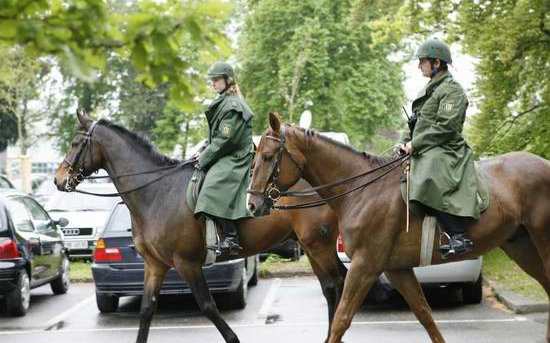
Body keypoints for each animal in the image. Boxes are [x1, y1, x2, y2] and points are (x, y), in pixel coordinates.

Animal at [51, 112, 344, 343]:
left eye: (75, 143)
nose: (57, 178)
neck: (156, 192)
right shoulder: (154, 266)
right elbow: (146, 311)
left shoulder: (187, 263)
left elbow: (208, 307)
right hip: (311, 246)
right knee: (331, 287)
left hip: (319, 245)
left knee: (339, 282)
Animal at [248, 113, 550, 343]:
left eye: (267, 156)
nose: (252, 204)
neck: (361, 189)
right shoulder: (397, 269)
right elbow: (425, 315)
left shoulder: (364, 266)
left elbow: (341, 320)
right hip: (521, 247)